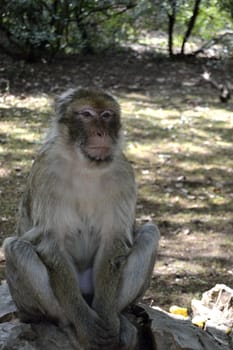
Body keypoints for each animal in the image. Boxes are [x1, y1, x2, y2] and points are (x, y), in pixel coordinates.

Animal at [3, 88, 160, 350]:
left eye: (106, 115)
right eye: (86, 114)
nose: (101, 132)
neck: (84, 165)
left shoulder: (124, 174)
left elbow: (114, 242)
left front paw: (108, 322)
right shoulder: (45, 173)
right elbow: (51, 245)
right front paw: (88, 328)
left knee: (150, 233)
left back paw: (120, 318)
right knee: (16, 247)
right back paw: (70, 326)